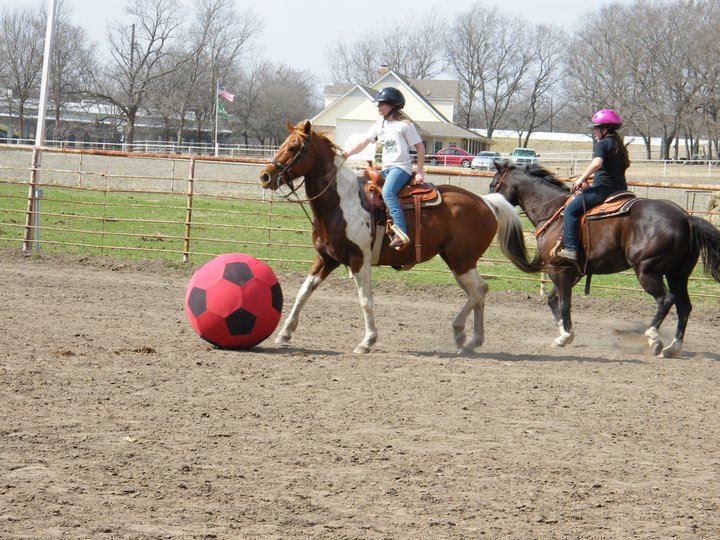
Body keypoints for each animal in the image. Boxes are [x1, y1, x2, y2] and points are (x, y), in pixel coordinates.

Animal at [259, 120, 540, 354]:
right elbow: (303, 292)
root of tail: (486, 202)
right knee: (477, 292)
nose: (265, 176)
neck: (342, 203)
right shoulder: (325, 259)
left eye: (294, 147)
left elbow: (365, 300)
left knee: (479, 290)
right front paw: (284, 333)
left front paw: (367, 341)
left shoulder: (359, 260)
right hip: (457, 261)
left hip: (462, 260)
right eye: (282, 144)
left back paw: (462, 334)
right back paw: (471, 340)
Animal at [490, 161, 720, 357]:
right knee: (684, 306)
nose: (489, 207)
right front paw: (563, 333)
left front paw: (566, 336)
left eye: (493, 184)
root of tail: (685, 217)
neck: (552, 211)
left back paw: (653, 337)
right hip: (677, 274)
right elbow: (553, 299)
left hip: (647, 271)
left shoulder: (559, 269)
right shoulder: (571, 272)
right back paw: (673, 348)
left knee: (666, 300)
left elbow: (564, 303)